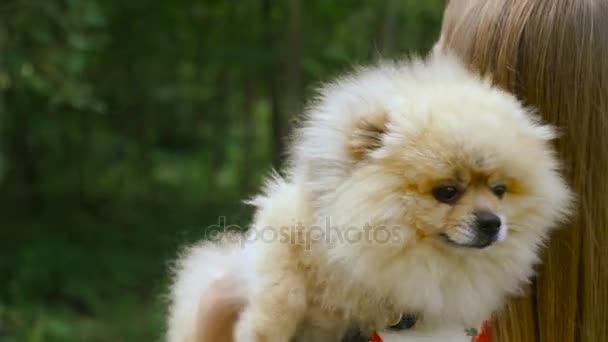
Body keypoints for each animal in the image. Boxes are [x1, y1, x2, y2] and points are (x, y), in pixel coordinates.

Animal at [167, 51, 576, 342]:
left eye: (500, 190)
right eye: (447, 192)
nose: (492, 222)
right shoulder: (282, 226)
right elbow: (283, 289)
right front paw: (264, 330)